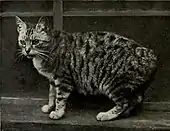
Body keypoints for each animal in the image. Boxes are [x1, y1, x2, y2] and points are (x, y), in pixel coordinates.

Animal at [15, 16, 157, 121]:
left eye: (35, 42)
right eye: (22, 42)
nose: (27, 51)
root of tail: (151, 55)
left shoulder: (63, 79)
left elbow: (60, 97)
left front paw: (58, 112)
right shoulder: (52, 79)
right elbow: (51, 94)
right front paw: (50, 107)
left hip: (112, 83)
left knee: (124, 102)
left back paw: (106, 115)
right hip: (129, 85)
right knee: (136, 100)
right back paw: (126, 113)